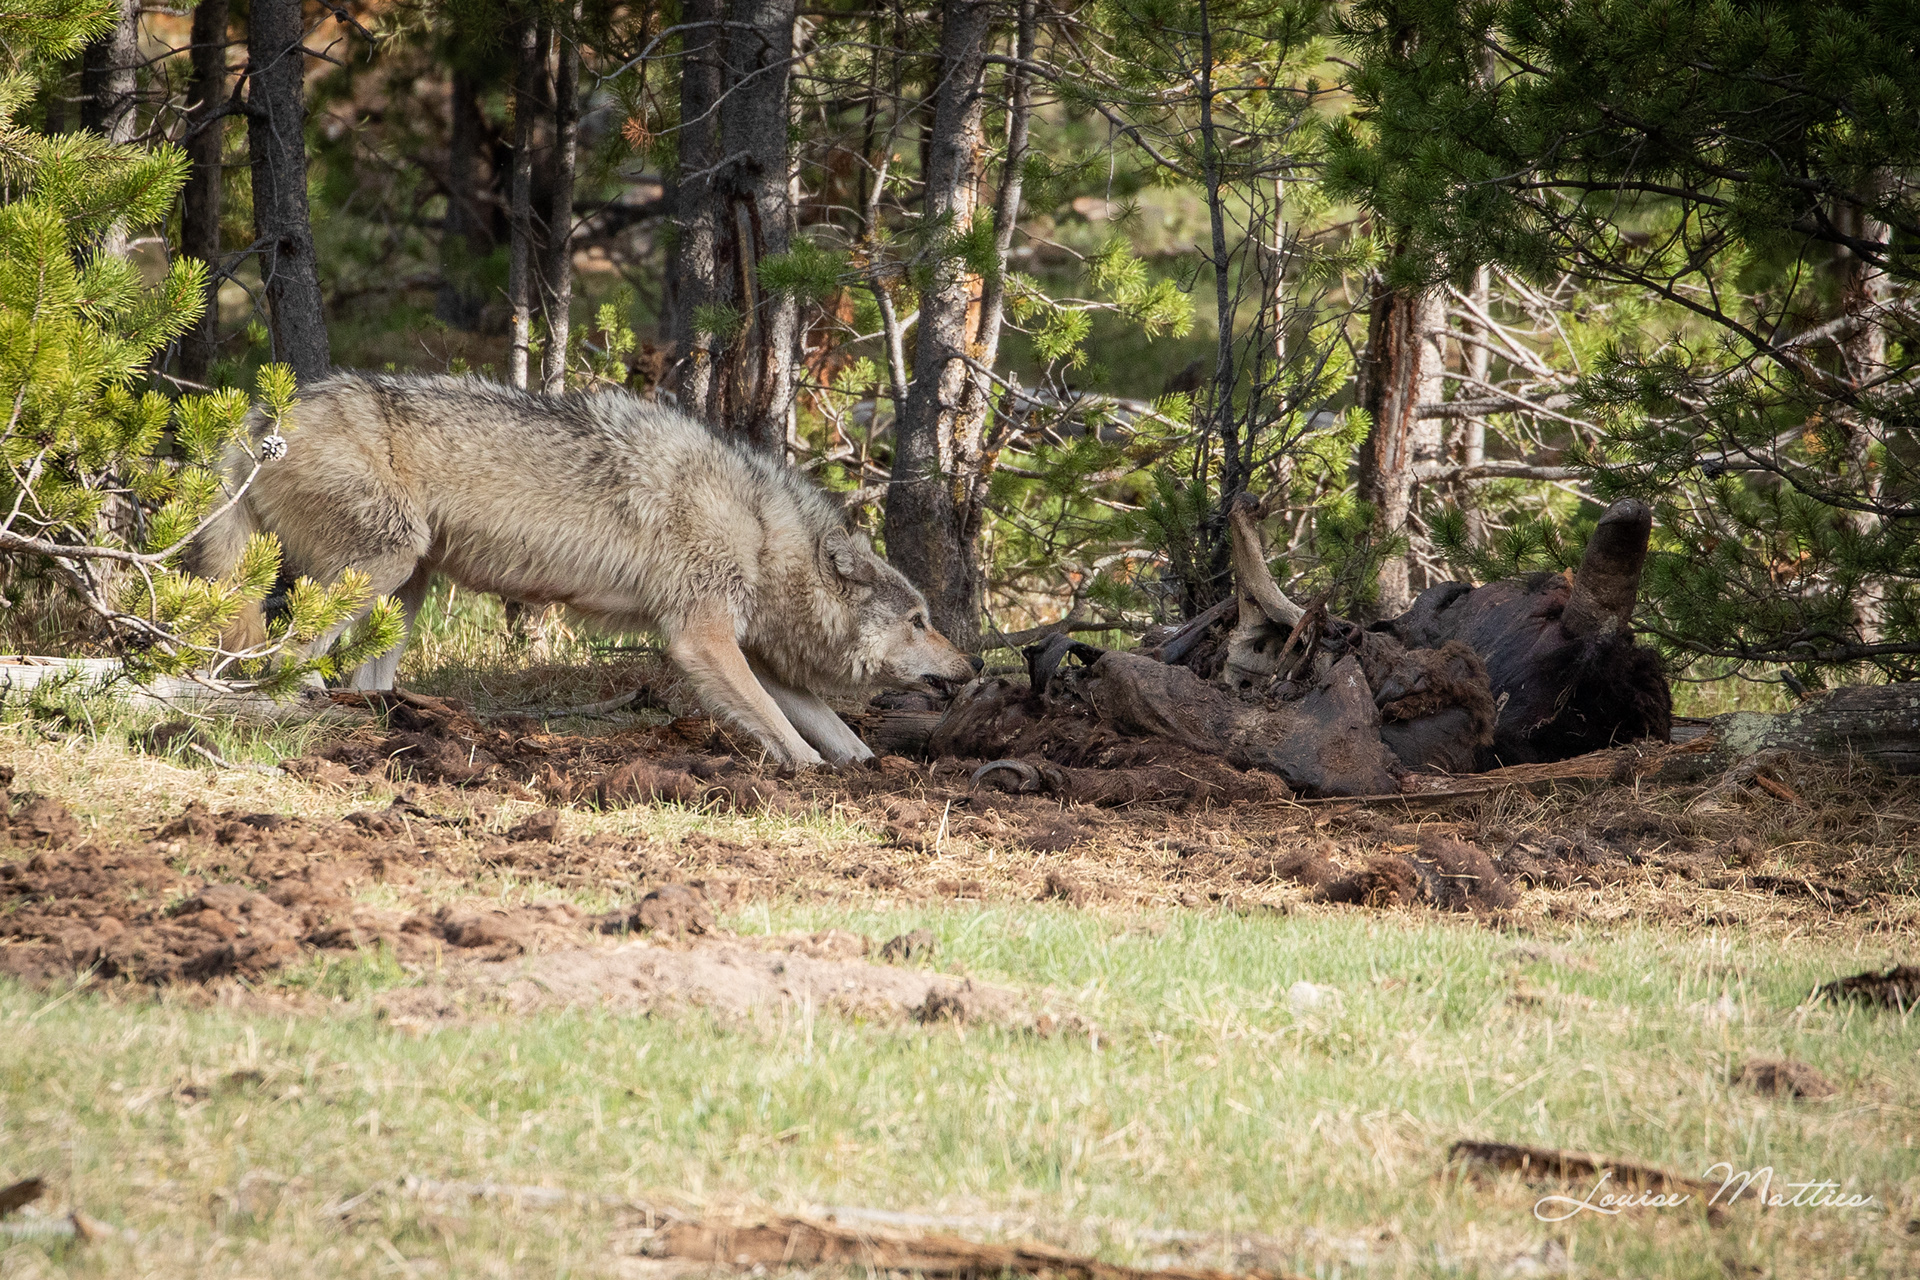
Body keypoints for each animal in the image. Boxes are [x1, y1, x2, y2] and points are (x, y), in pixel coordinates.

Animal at [189, 373, 978, 768]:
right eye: (920, 621)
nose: (971, 669)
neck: (761, 533)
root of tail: (261, 416)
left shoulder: (756, 655)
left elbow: (837, 732)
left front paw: (869, 770)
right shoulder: (700, 640)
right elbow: (782, 730)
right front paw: (807, 772)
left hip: (408, 583)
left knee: (364, 675)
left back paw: (401, 726)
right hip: (384, 565)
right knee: (280, 655)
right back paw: (305, 705)